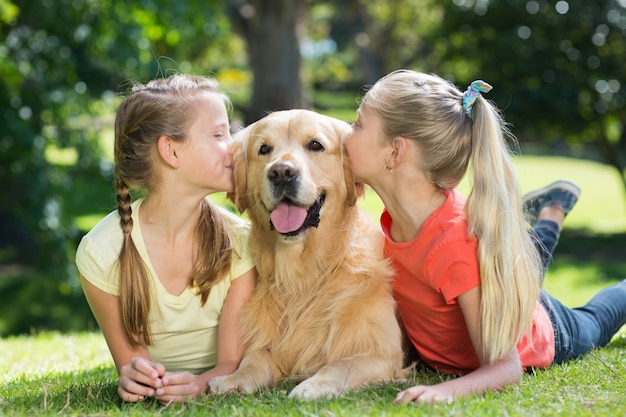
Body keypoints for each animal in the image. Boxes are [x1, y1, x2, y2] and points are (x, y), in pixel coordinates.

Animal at [208, 109, 404, 398]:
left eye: (315, 145)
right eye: (264, 149)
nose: (281, 172)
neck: (303, 276)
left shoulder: (383, 353)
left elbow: (341, 366)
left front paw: (313, 386)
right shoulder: (266, 342)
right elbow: (255, 358)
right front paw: (234, 378)